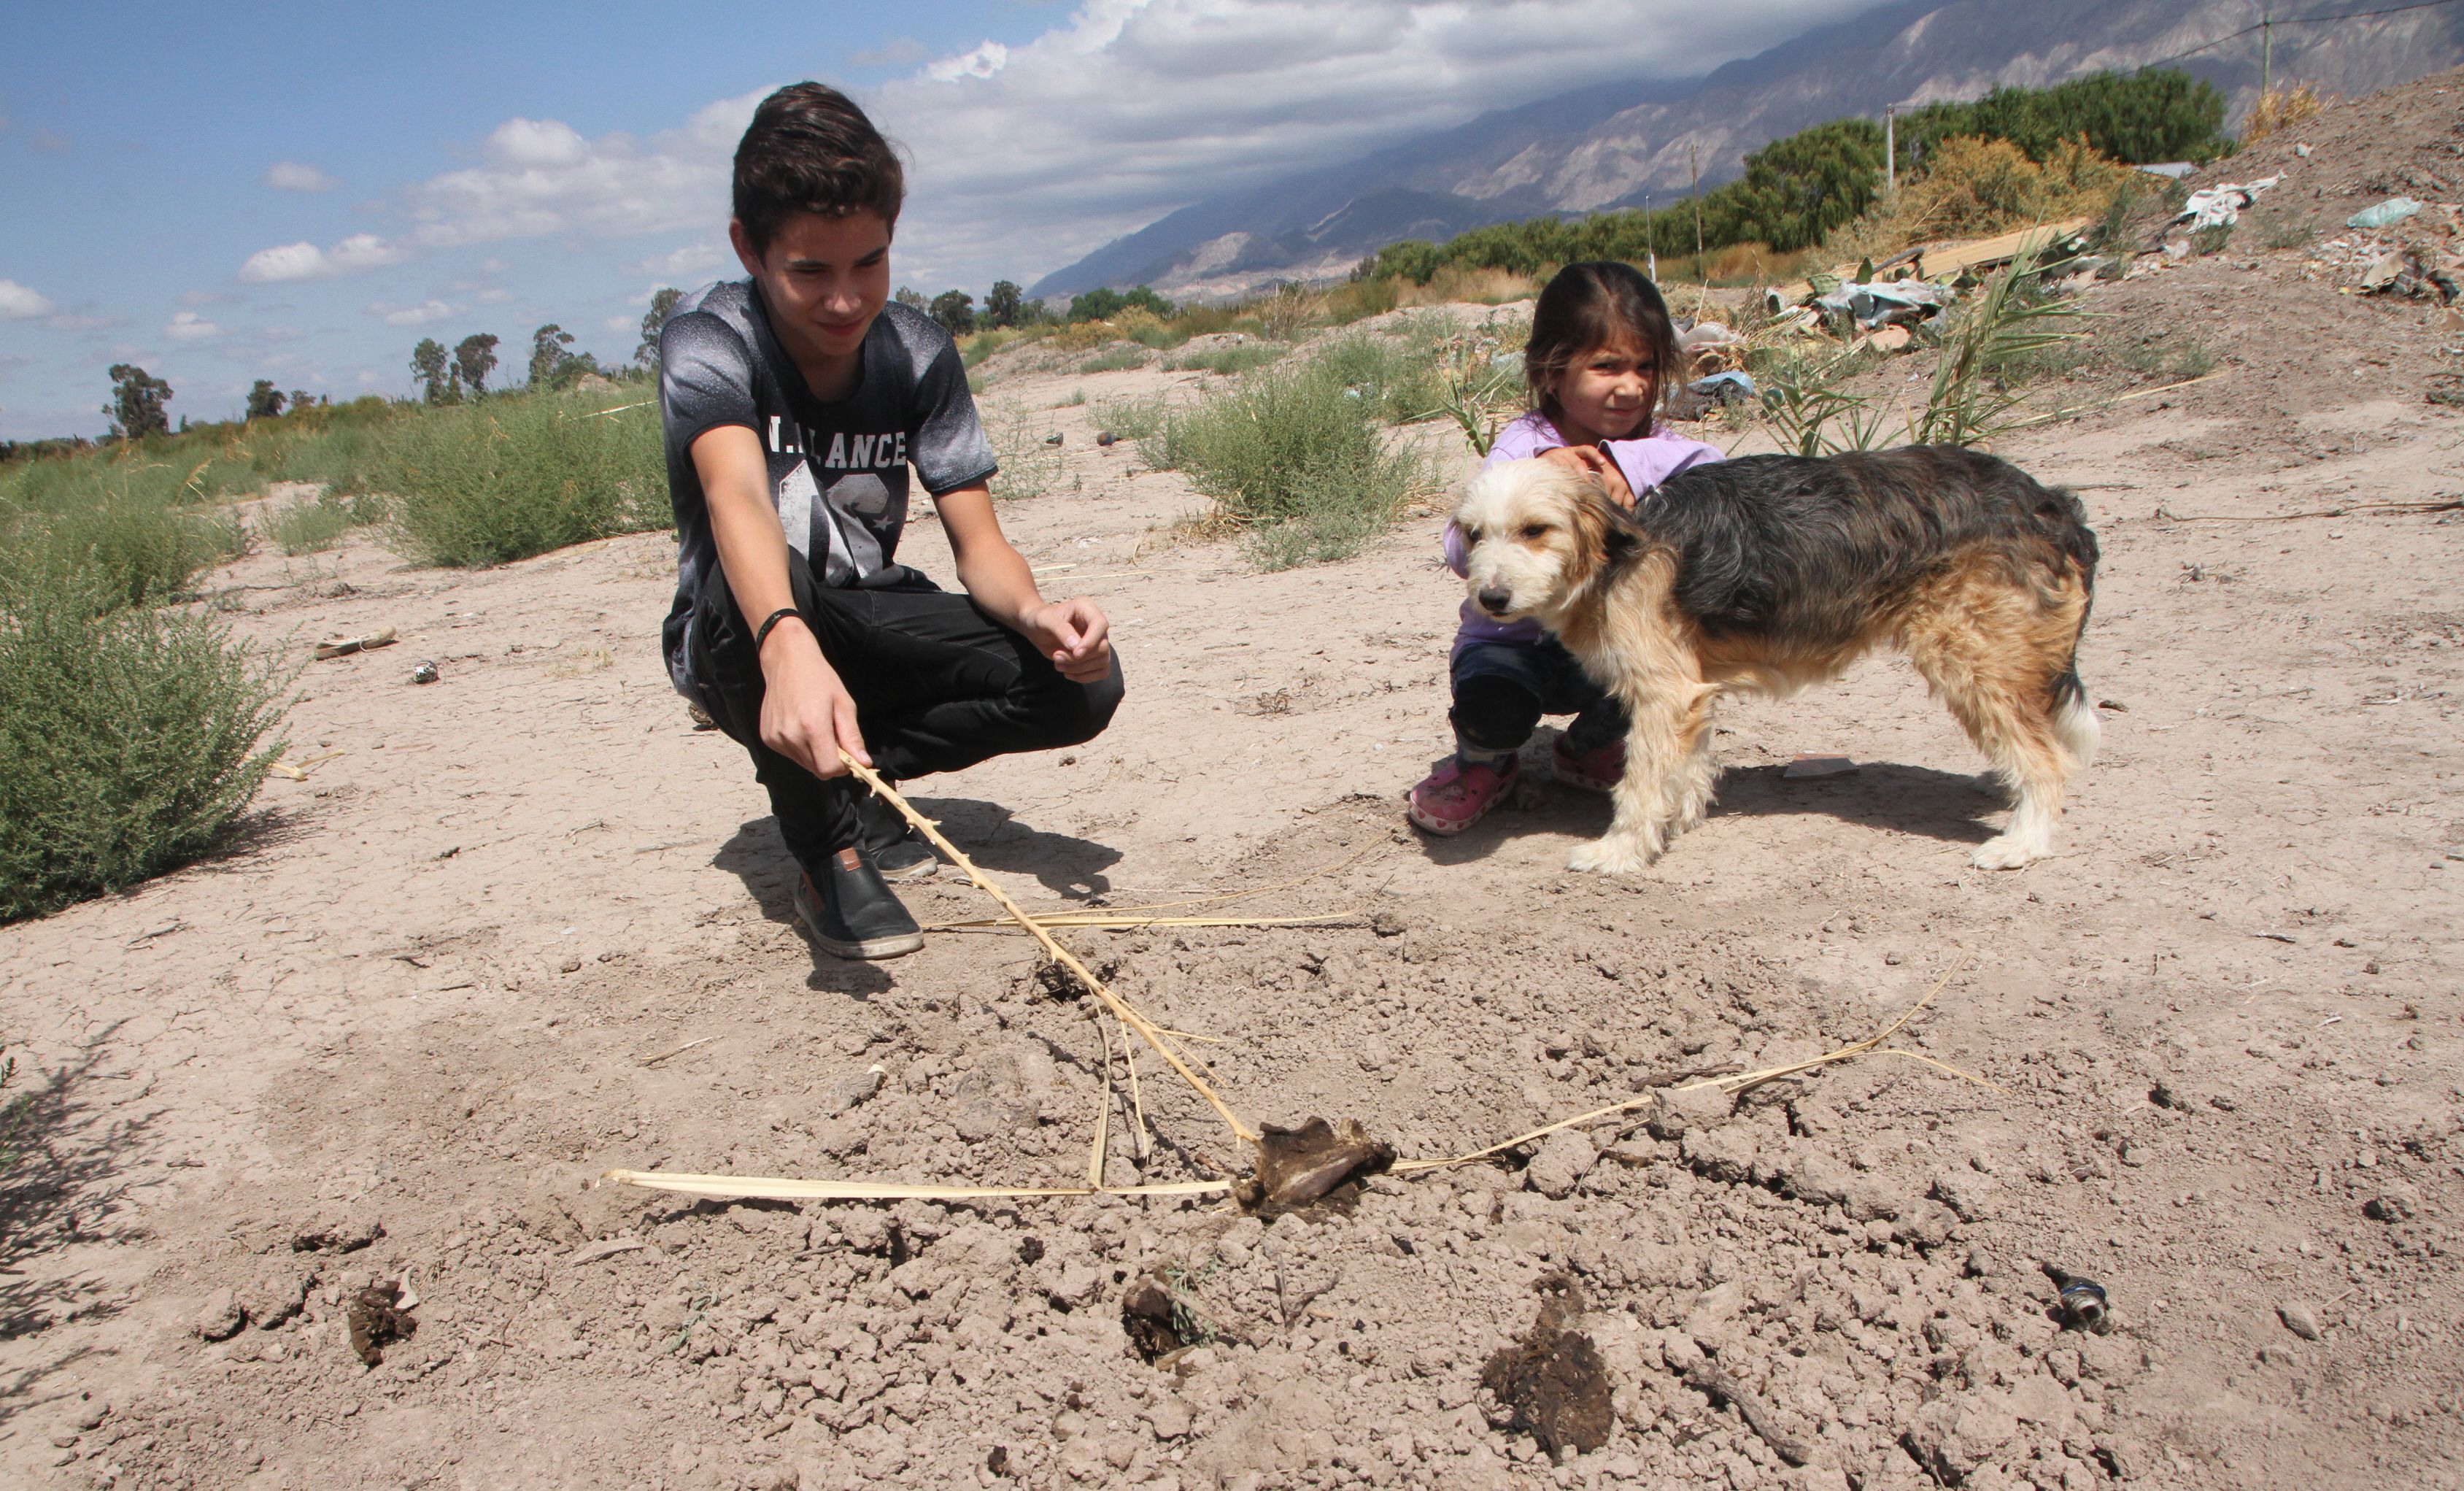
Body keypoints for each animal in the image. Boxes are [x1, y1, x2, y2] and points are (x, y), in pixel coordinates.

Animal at [1454, 447, 2099, 873]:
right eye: (1474, 534)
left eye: (1535, 530)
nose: (1491, 598)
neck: (1616, 553)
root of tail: (2052, 503)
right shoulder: (1689, 688)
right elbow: (1686, 765)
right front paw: (1679, 819)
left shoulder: (1664, 692)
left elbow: (1639, 782)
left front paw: (1619, 851)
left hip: (1967, 657)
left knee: (2046, 759)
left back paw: (2022, 842)